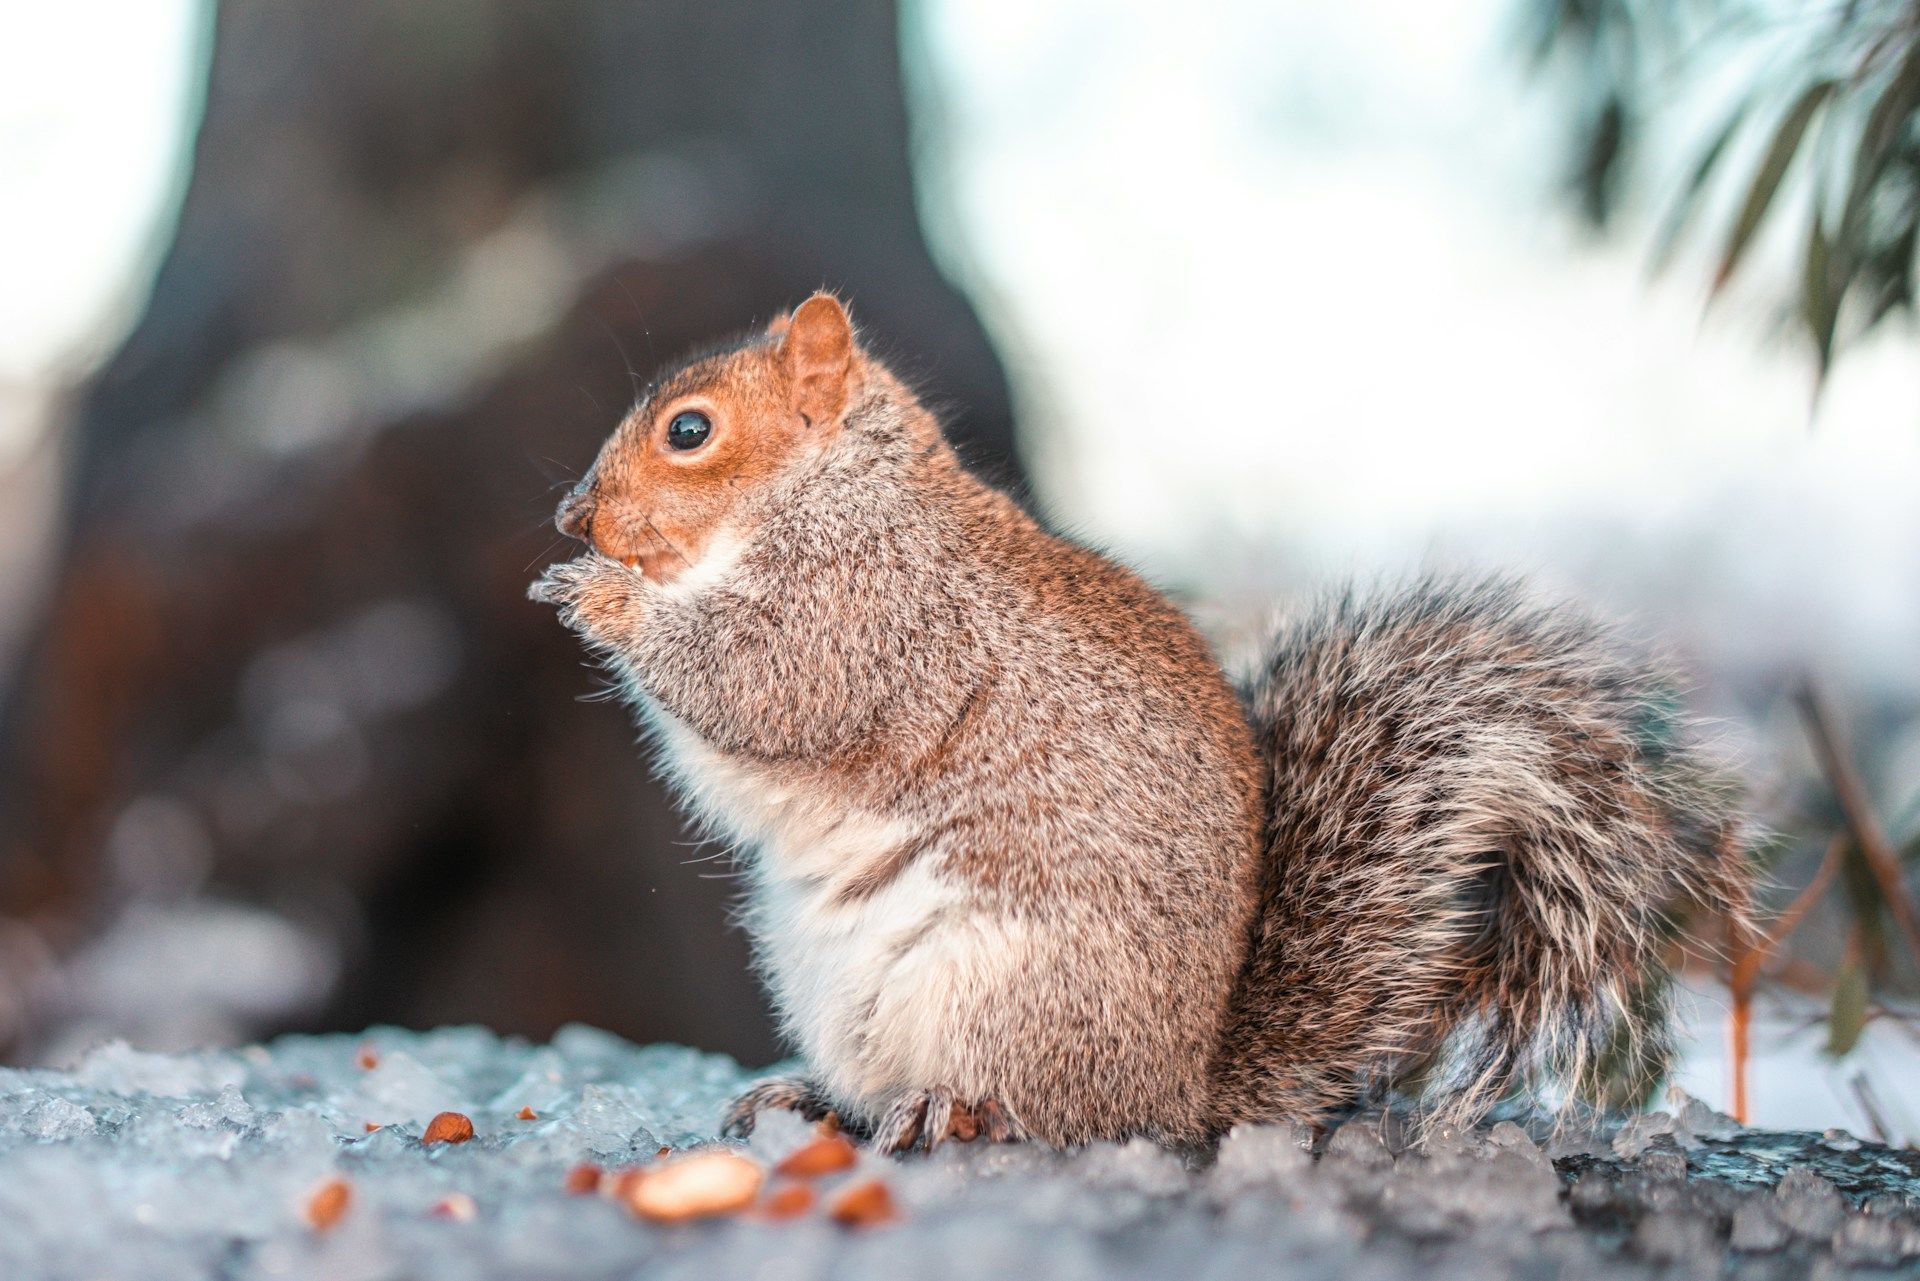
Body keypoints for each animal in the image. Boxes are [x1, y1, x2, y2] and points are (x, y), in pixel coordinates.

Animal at [529, 293, 1758, 1152]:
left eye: (691, 431)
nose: (573, 516)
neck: (834, 490)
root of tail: (1182, 1087)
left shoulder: (871, 613)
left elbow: (763, 680)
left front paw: (602, 597)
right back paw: (815, 1098)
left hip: (1008, 987)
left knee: (1046, 1110)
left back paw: (947, 1110)